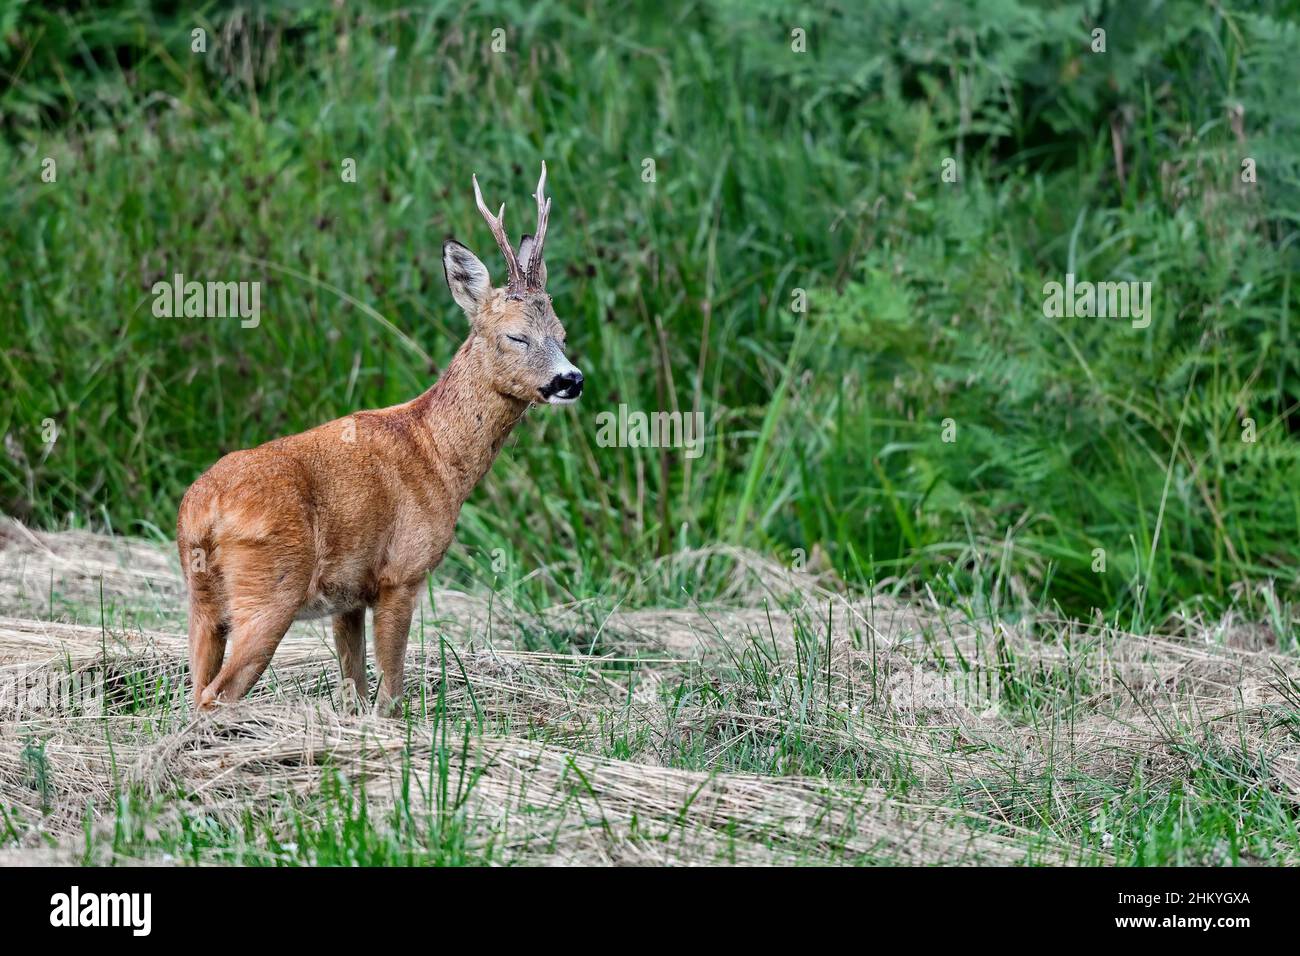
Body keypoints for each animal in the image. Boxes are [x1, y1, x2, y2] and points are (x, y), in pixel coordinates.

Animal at [175, 164, 582, 712]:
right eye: (516, 336)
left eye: (561, 332)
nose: (571, 380)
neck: (437, 453)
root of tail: (205, 510)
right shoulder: (402, 572)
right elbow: (390, 691)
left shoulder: (346, 596)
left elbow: (356, 685)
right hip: (269, 588)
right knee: (215, 696)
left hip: (202, 600)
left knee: (194, 688)